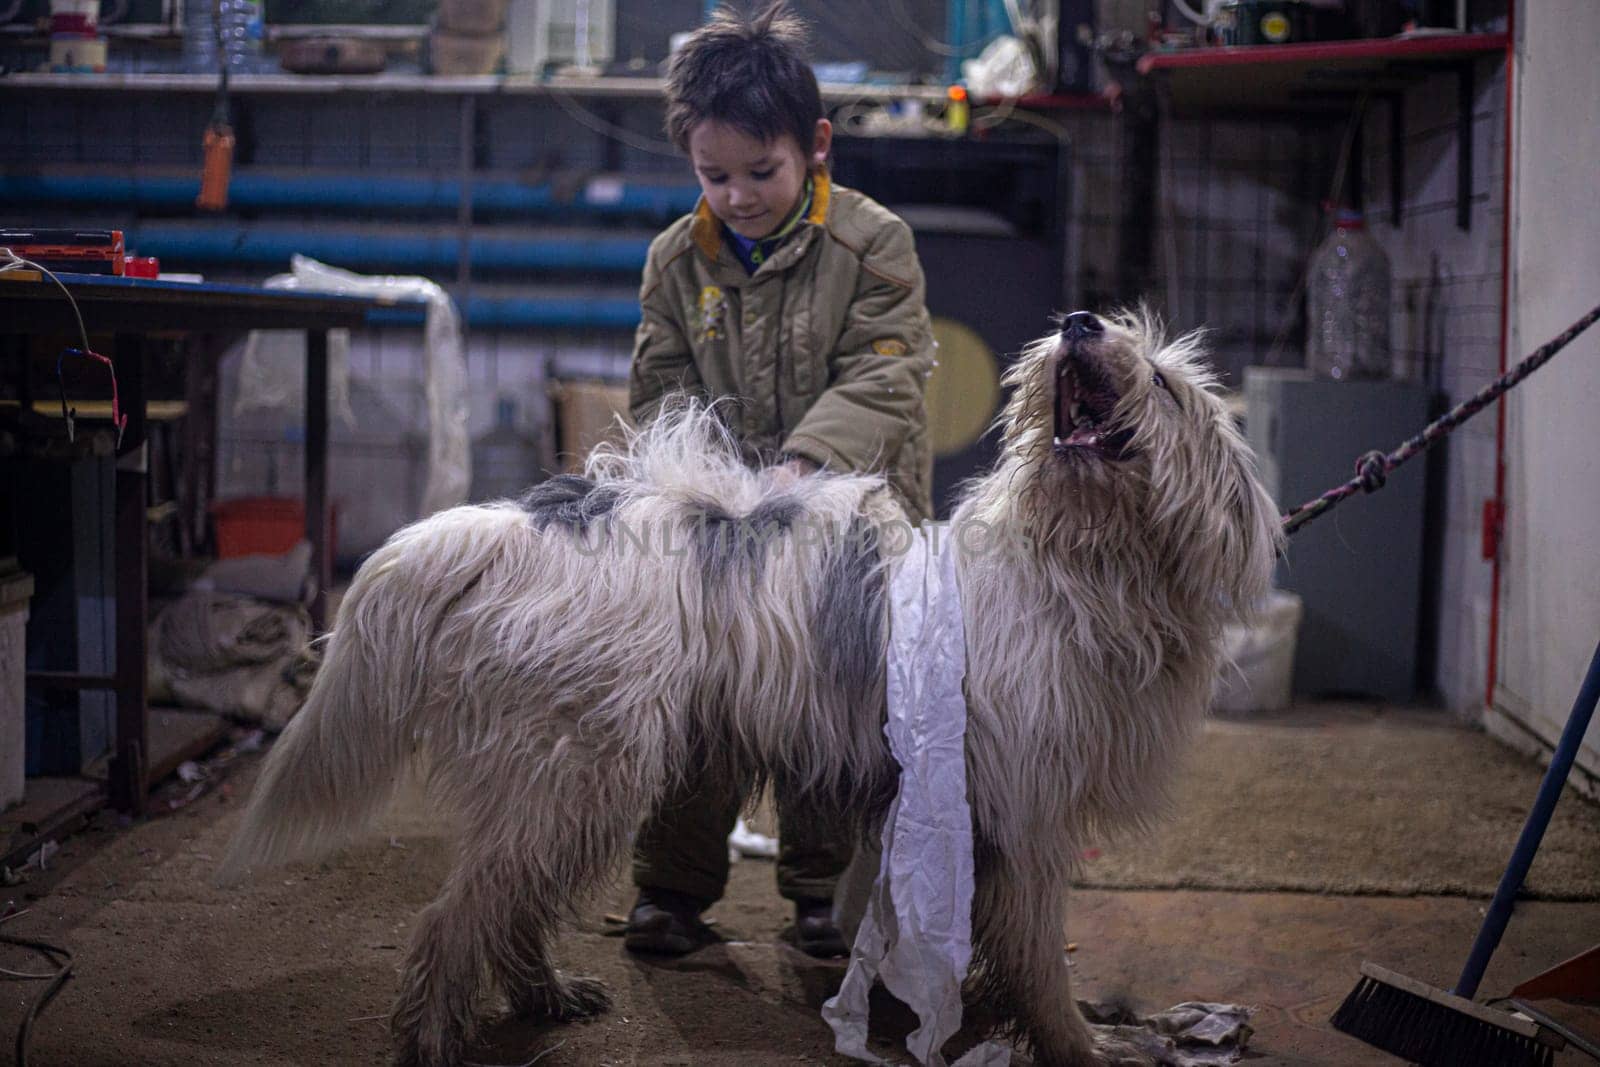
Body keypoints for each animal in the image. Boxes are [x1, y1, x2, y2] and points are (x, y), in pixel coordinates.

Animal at [219, 310, 1280, 1067]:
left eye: (1168, 386)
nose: (1079, 321)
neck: (1076, 566)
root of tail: (509, 526)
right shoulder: (1025, 818)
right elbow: (1035, 957)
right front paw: (1080, 1045)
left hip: (566, 774)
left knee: (504, 903)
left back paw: (545, 995)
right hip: (577, 767)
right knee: (457, 914)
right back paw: (436, 1035)